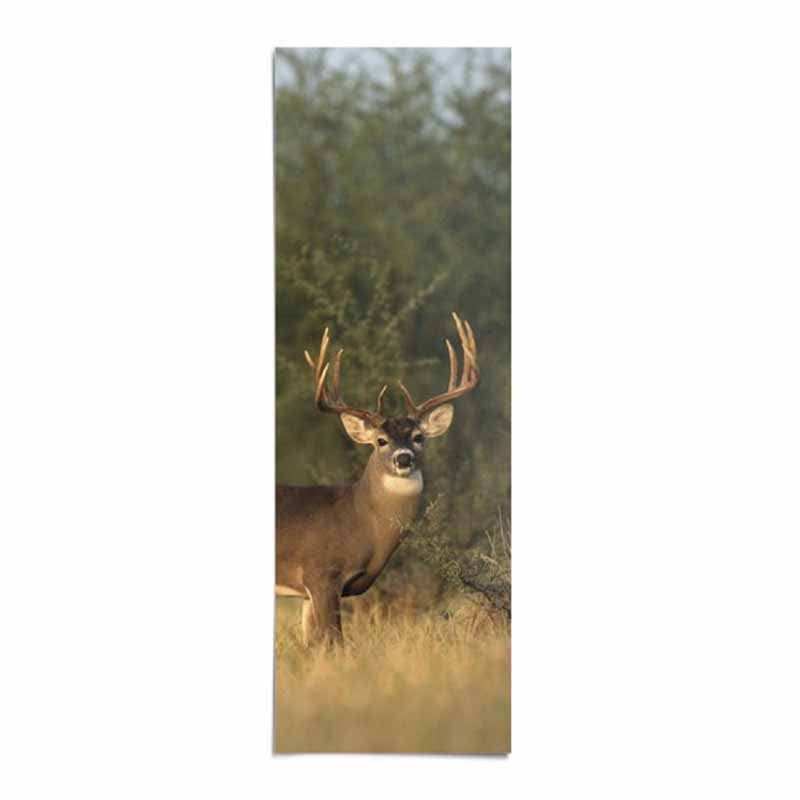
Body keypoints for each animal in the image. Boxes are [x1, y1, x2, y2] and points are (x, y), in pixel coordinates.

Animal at [275, 313, 479, 646]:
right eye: (381, 441)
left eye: (418, 437)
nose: (404, 458)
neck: (359, 522)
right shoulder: (321, 573)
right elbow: (335, 643)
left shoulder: (308, 592)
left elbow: (312, 646)